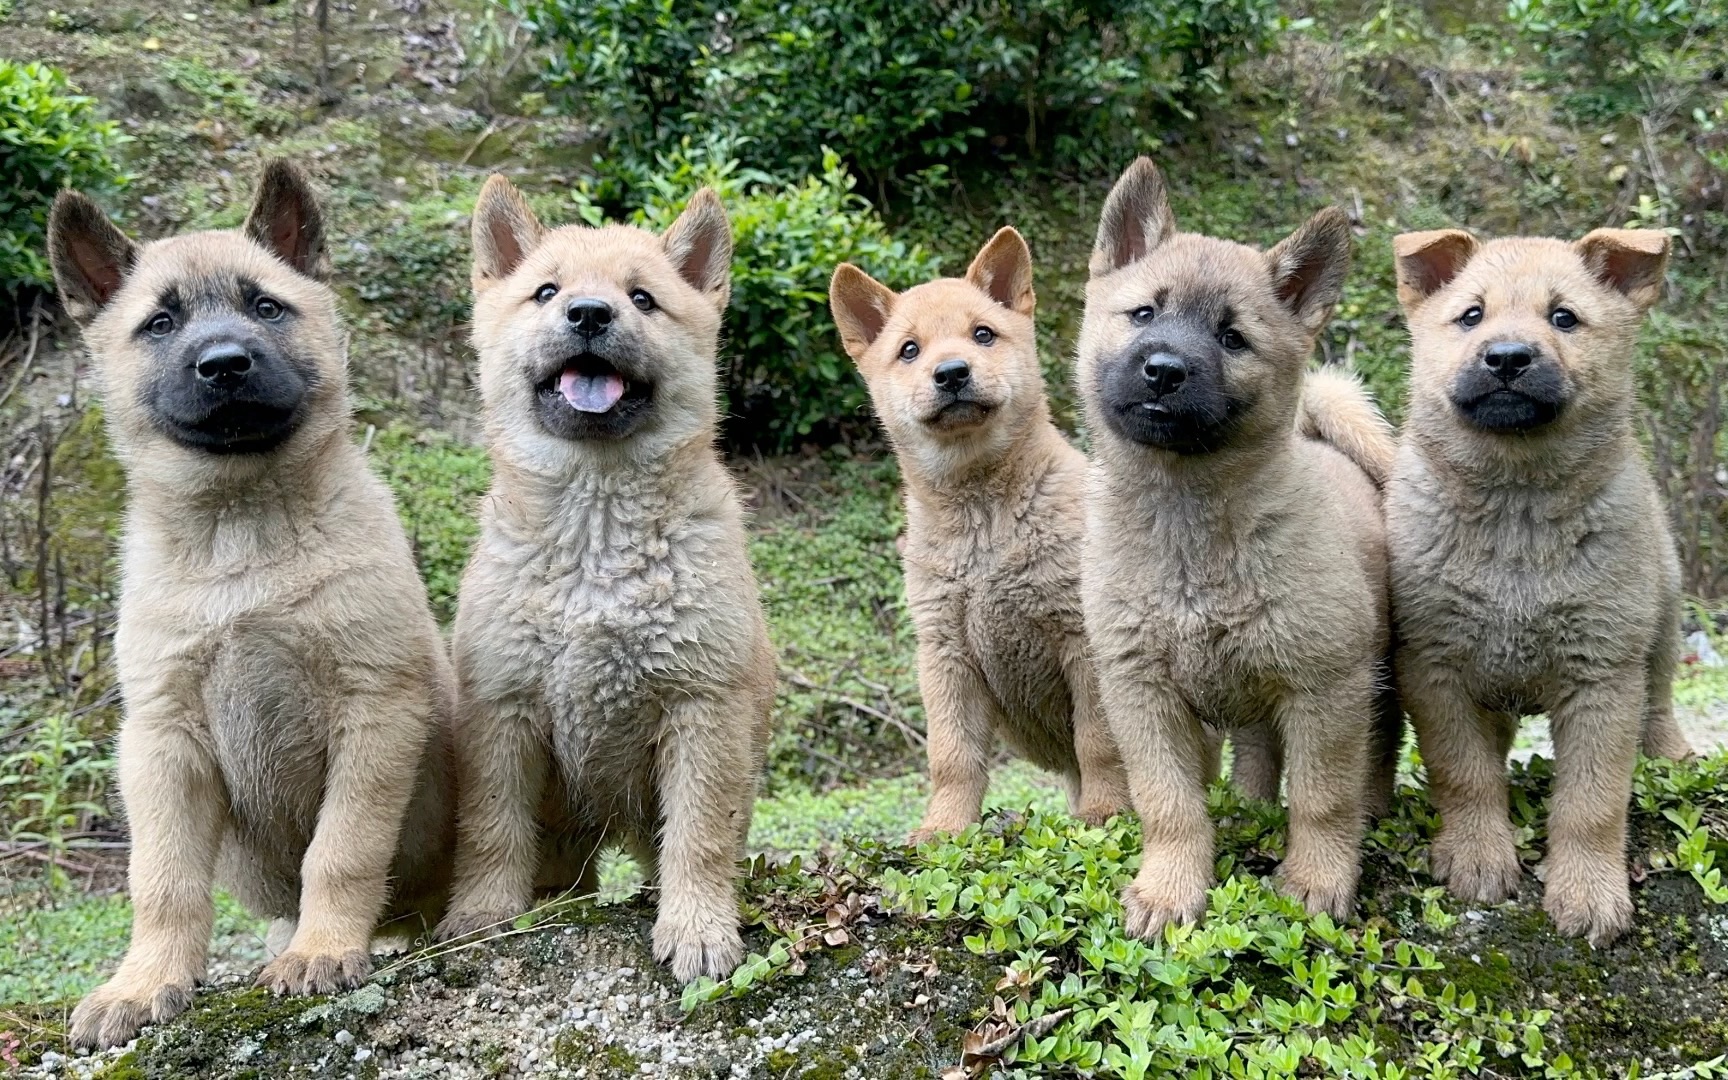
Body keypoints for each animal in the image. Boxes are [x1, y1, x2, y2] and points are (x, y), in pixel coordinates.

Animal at [51, 164, 459, 1050]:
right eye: (160, 323)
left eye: (267, 307)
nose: (225, 364)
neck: (242, 535)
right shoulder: (161, 740)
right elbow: (162, 880)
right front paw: (145, 983)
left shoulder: (375, 709)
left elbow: (340, 849)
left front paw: (324, 950)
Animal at [1078, 155, 1403, 940]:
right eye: (1143, 314)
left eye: (1232, 338)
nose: (1164, 369)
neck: (1189, 525)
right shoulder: (1143, 695)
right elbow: (1170, 805)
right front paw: (1169, 889)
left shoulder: (1327, 688)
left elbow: (1322, 798)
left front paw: (1317, 881)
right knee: (1256, 758)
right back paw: (1252, 809)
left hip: (1375, 678)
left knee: (1375, 758)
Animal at [1382, 222, 1693, 940]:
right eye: (1472, 315)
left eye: (1564, 318)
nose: (1507, 358)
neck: (1516, 512)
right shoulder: (1436, 667)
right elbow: (1465, 775)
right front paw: (1477, 856)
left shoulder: (1603, 675)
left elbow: (1592, 800)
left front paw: (1588, 892)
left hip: (1662, 617)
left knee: (1661, 699)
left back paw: (1673, 755)